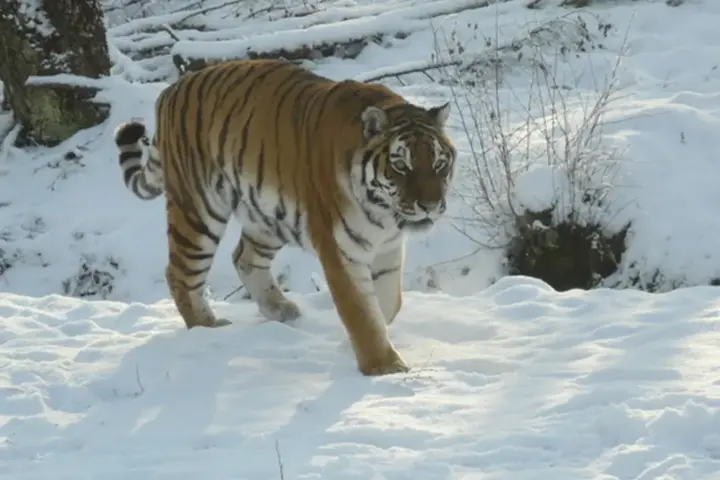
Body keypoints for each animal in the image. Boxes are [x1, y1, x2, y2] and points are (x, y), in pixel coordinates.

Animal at [113, 58, 457, 376]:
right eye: (401, 165)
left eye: (439, 164)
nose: (430, 205)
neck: (383, 215)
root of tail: (170, 90)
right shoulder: (340, 250)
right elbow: (361, 311)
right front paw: (384, 367)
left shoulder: (388, 248)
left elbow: (388, 302)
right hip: (198, 211)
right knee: (180, 273)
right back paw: (206, 327)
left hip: (268, 215)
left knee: (243, 256)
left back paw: (280, 308)